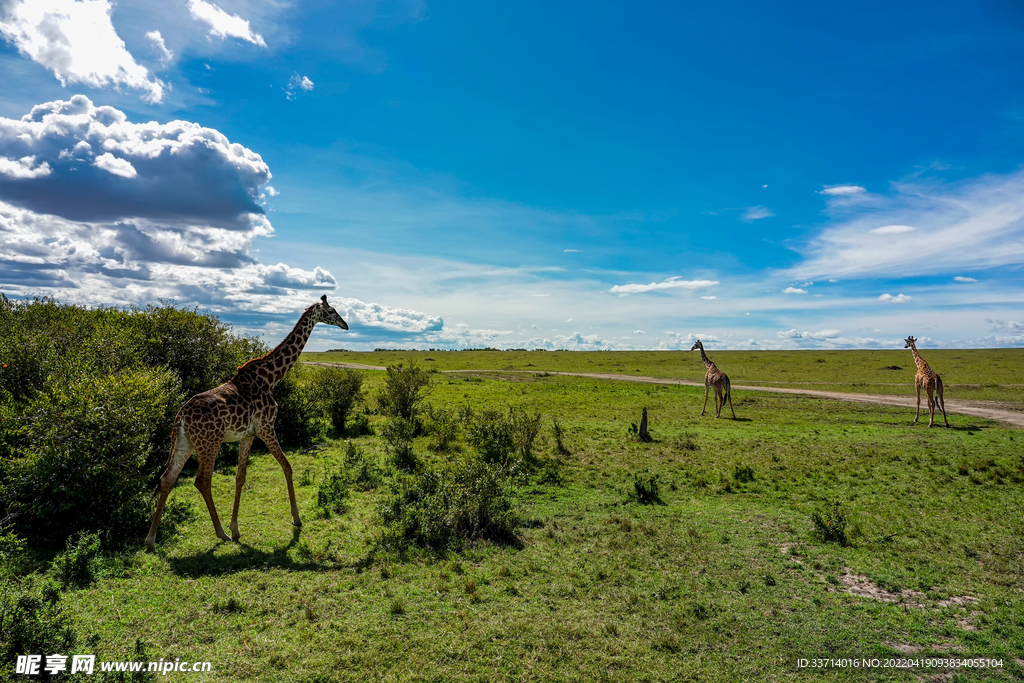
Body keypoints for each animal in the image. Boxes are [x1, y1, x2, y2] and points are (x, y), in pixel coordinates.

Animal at [144, 294, 350, 548]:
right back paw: (219, 532)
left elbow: (240, 477)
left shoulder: (248, 435)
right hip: (210, 443)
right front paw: (296, 518)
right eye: (331, 311)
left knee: (167, 478)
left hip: (185, 443)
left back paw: (151, 540)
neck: (271, 377)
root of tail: (180, 417)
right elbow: (287, 466)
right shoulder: (266, 427)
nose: (345, 325)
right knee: (202, 480)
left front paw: (236, 529)